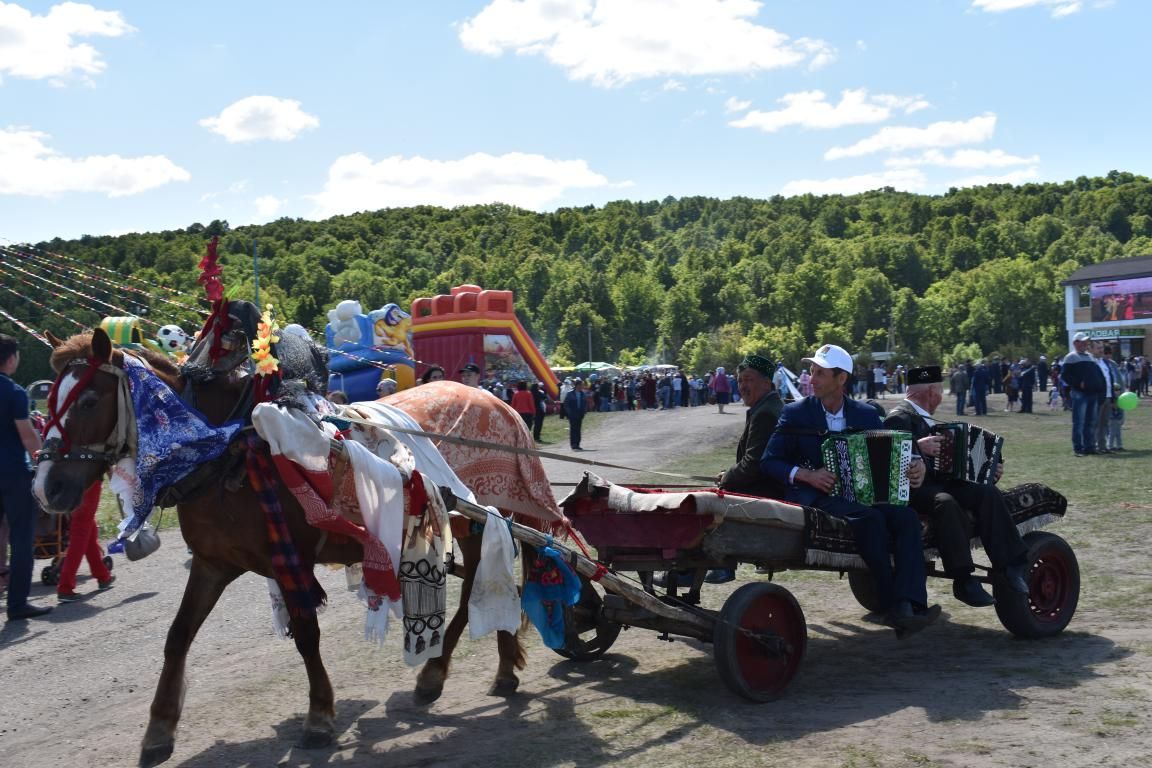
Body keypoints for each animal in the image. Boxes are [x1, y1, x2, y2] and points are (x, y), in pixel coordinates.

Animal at [33, 329, 555, 768]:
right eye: (50, 398)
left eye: (89, 400)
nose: (46, 487)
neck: (229, 452)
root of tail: (498, 401)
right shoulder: (212, 564)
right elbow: (178, 637)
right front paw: (159, 729)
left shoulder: (291, 561)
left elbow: (306, 636)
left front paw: (319, 716)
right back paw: (487, 668)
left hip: (476, 521)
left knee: (478, 589)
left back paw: (444, 671)